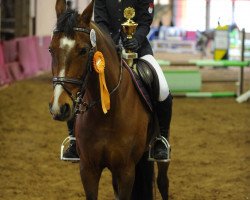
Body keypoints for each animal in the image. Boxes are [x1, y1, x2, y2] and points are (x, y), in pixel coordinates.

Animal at [48, 0, 170, 199]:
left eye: (83, 50)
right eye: (51, 49)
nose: (59, 107)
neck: (106, 113)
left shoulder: (126, 171)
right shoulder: (88, 169)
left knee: (163, 182)